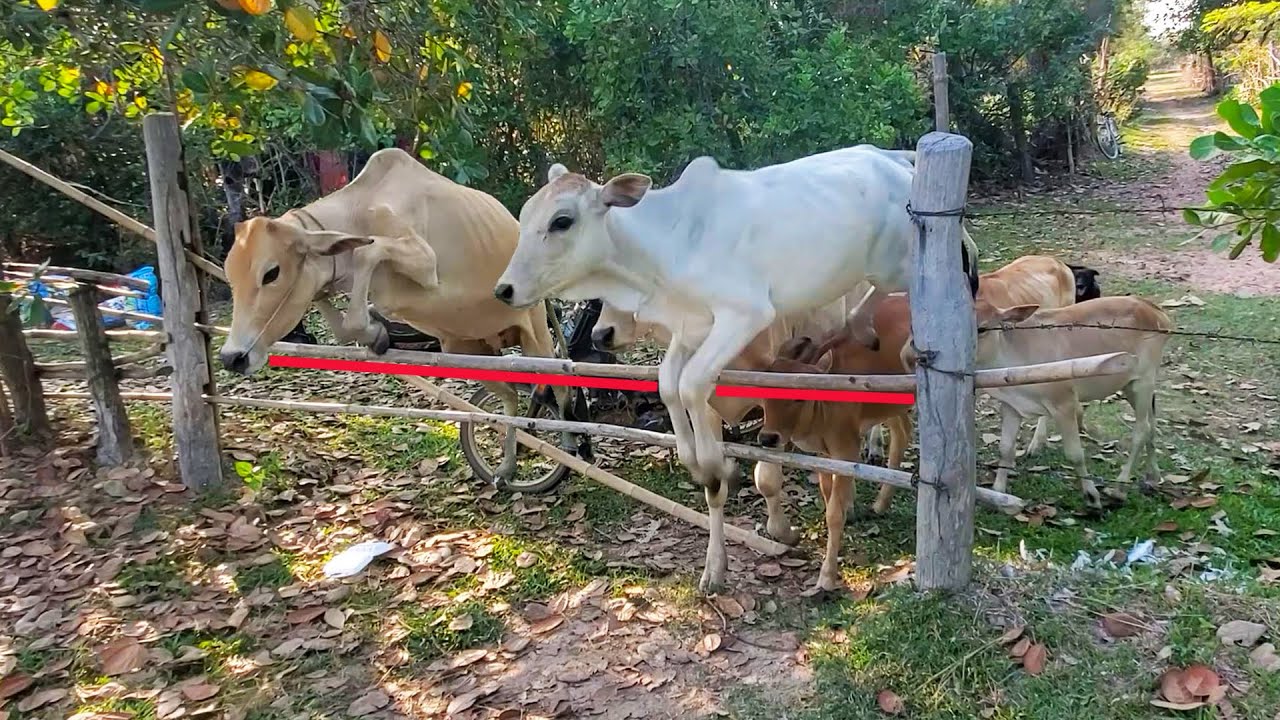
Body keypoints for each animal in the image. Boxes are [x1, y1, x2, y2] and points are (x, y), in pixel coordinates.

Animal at [218, 147, 585, 483]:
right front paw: (376, 333)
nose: (233, 357)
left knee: (557, 388)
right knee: (510, 396)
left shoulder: (424, 262)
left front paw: (373, 330)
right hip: (465, 349)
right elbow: (341, 323)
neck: (358, 210)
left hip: (536, 336)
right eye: (230, 274)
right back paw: (507, 466)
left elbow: (367, 253)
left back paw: (568, 444)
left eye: (271, 273)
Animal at [756, 294, 915, 592]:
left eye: (799, 397)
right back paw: (881, 504)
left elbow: (833, 513)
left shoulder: (844, 450)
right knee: (903, 432)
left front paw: (827, 576)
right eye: (763, 395)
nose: (768, 438)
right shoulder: (824, 455)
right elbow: (829, 497)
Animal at [909, 295, 1172, 508]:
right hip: (1131, 385)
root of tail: (1155, 310)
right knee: (1152, 426)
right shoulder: (1011, 406)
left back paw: (1119, 488)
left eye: (982, 328)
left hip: (1143, 381)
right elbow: (1005, 449)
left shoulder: (1064, 402)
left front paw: (1091, 496)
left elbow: (1075, 454)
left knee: (1141, 430)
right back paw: (1153, 476)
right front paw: (999, 493)